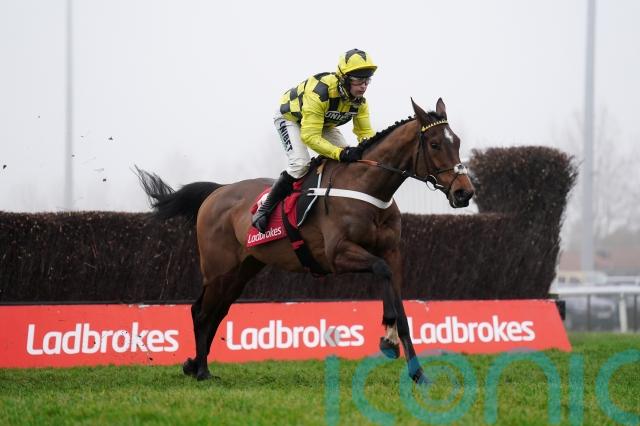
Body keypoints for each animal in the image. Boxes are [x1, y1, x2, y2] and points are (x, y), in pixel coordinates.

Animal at [136, 98, 475, 384]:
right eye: (434, 144)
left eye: (457, 142)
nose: (464, 192)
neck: (367, 187)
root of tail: (216, 192)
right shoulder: (337, 254)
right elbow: (381, 270)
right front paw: (389, 340)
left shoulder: (392, 251)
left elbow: (400, 304)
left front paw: (415, 369)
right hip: (218, 268)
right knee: (200, 311)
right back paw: (201, 370)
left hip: (243, 269)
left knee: (216, 312)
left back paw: (196, 365)